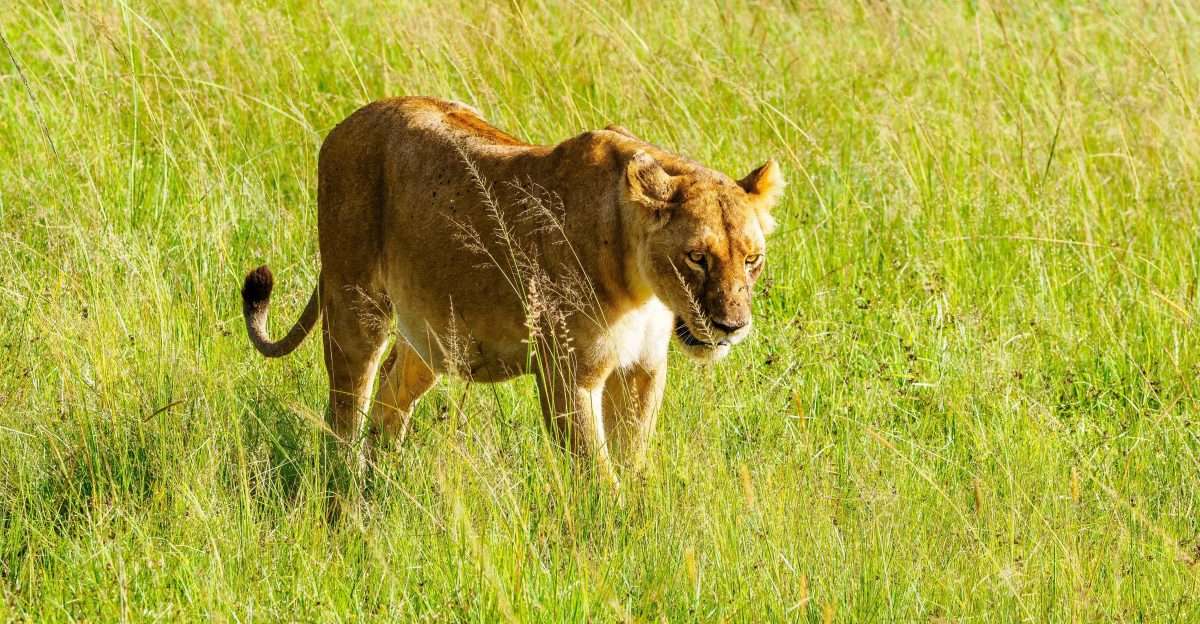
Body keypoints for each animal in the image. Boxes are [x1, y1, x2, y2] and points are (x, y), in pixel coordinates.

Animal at [241, 97, 784, 482]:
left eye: (752, 260)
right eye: (697, 257)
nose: (731, 327)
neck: (643, 288)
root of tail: (349, 120)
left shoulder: (644, 370)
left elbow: (632, 459)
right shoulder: (569, 372)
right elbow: (597, 473)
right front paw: (614, 534)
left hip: (435, 332)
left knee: (391, 394)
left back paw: (383, 478)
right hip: (356, 306)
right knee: (345, 411)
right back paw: (348, 486)